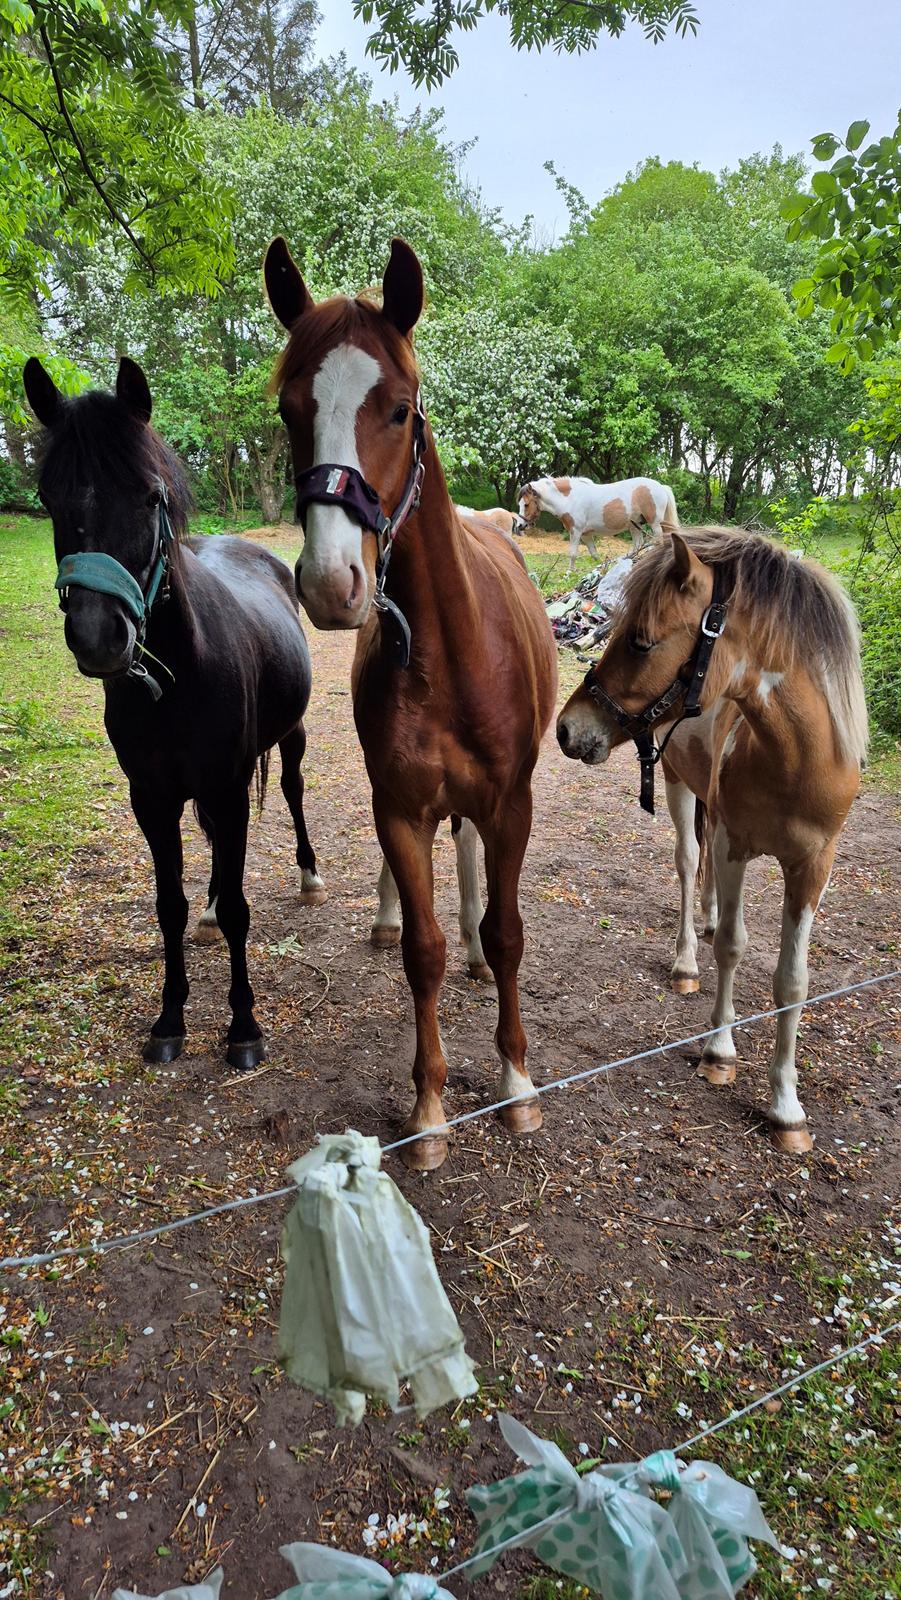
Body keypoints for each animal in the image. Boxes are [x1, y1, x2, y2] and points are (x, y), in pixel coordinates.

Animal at [24, 356, 326, 1071]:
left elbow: (243, 906)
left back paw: (308, 874)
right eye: (49, 499)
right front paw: (169, 1018)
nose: (98, 636)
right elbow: (170, 905)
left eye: (152, 497)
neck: (184, 671)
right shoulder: (153, 798)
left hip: (290, 738)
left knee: (293, 789)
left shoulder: (227, 784)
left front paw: (243, 1026)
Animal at [264, 234, 558, 1170]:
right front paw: (429, 1107)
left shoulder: (511, 803)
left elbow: (507, 932)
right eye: (290, 410)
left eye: (398, 410)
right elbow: (420, 954)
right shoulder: (397, 803)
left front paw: (515, 1086)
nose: (331, 582)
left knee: (469, 874)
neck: (453, 655)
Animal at [519, 475, 679, 571]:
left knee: (658, 541)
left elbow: (573, 553)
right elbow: (594, 554)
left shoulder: (576, 532)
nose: (520, 525)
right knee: (638, 545)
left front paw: (569, 573)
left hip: (655, 524)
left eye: (526, 504)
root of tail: (661, 486)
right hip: (635, 525)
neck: (570, 498)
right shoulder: (586, 535)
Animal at [556, 528, 867, 1154]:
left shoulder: (813, 867)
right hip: (678, 787)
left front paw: (786, 1107)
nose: (567, 729)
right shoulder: (732, 843)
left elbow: (793, 979)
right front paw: (719, 1052)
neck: (796, 758)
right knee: (687, 864)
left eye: (642, 642)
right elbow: (731, 946)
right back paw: (685, 961)